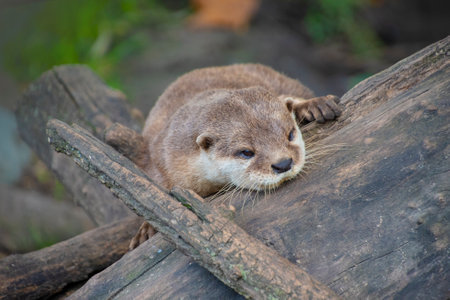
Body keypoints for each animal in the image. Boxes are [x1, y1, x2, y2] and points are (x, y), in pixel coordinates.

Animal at [125, 63, 340, 248]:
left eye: (290, 134)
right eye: (246, 152)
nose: (283, 164)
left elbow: (288, 99)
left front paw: (315, 105)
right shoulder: (160, 158)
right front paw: (147, 229)